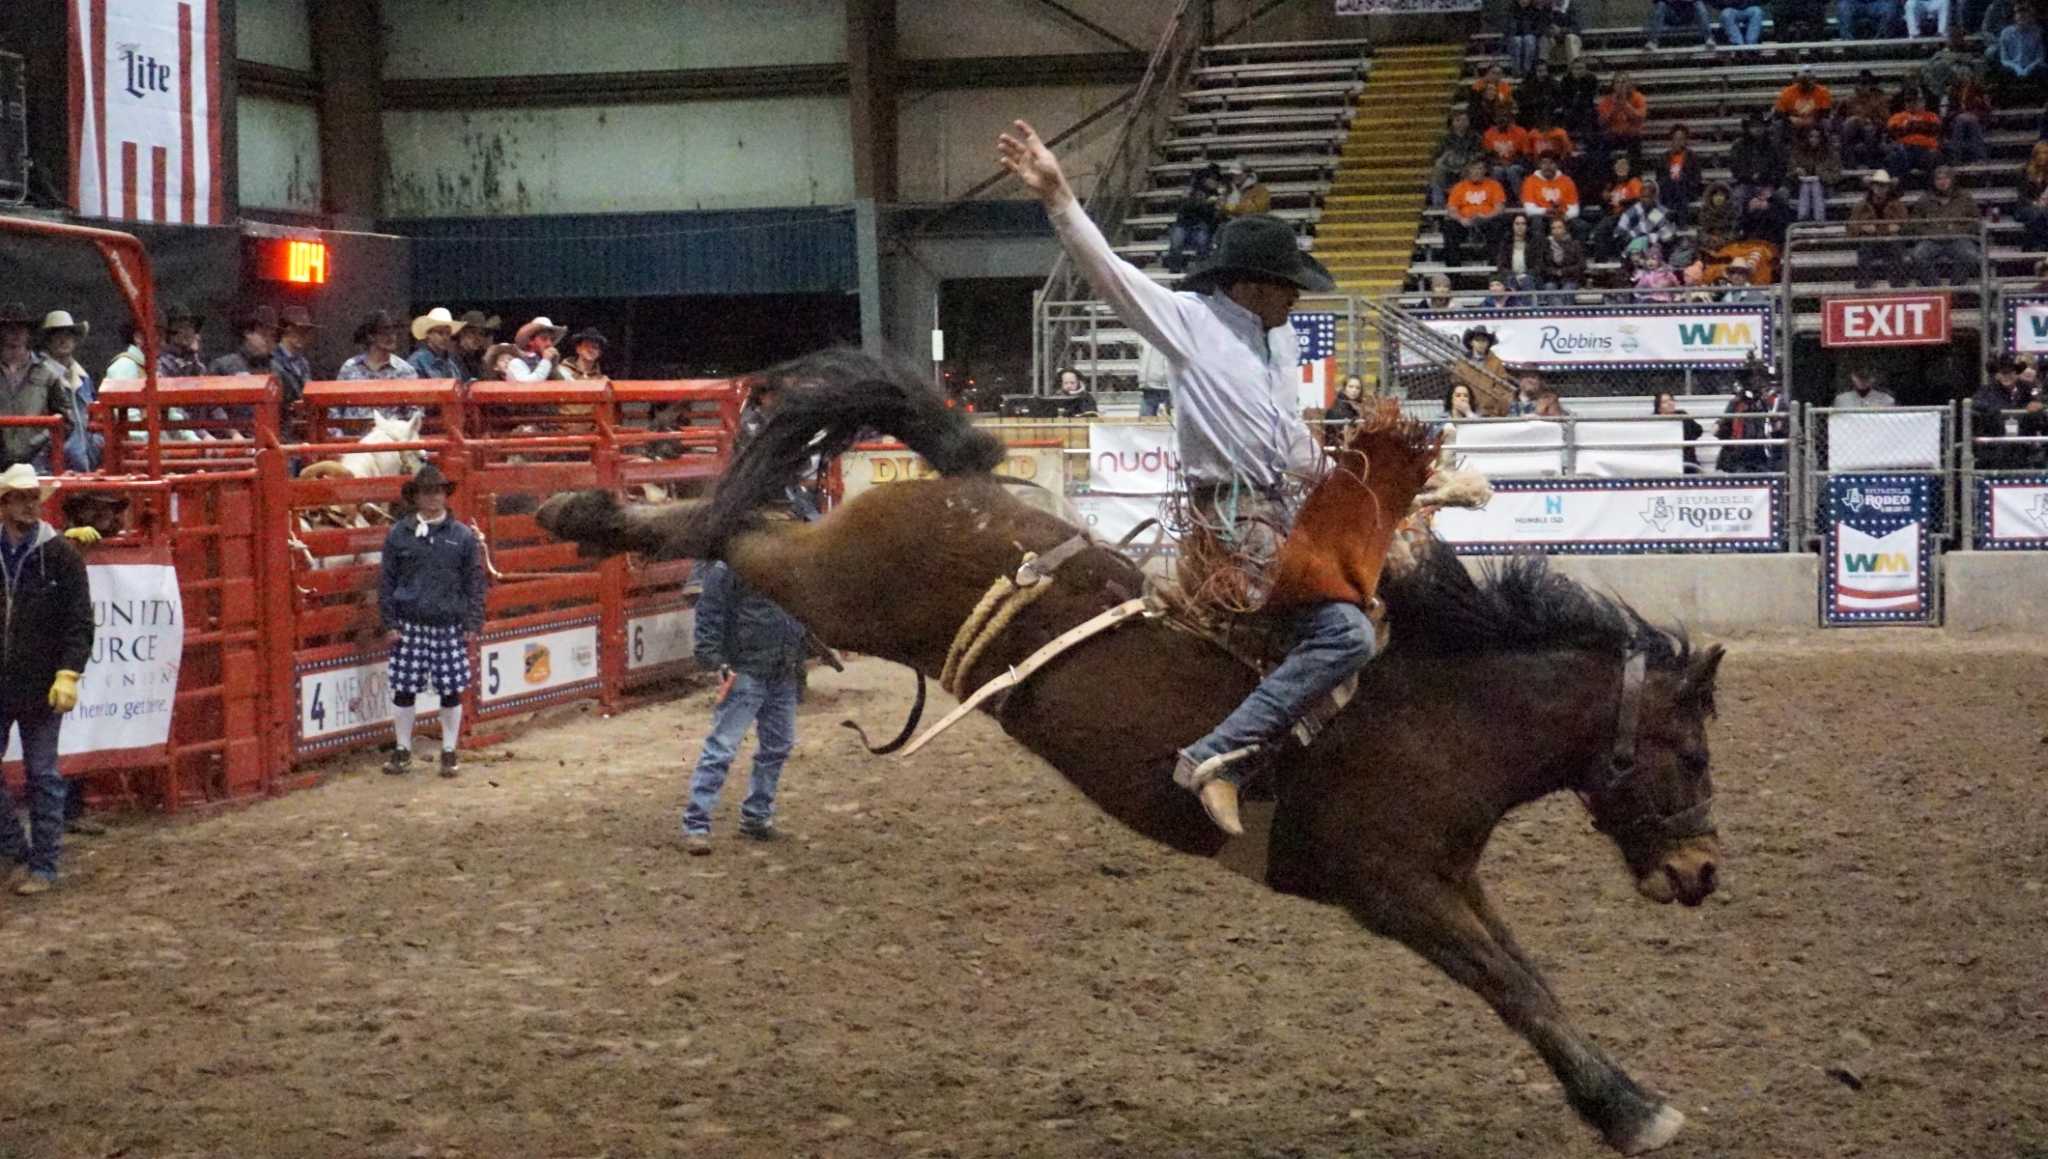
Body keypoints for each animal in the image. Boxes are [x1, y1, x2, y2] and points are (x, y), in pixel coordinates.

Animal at [536, 350, 1720, 1154]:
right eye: (1693, 756)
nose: (1704, 871)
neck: (1441, 709)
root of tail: (967, 486)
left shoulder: (1453, 879)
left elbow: (1530, 979)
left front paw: (1620, 1097)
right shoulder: (1394, 888)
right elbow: (1509, 987)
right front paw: (1633, 1110)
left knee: (751, 520)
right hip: (836, 582)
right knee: (738, 532)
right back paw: (584, 507)